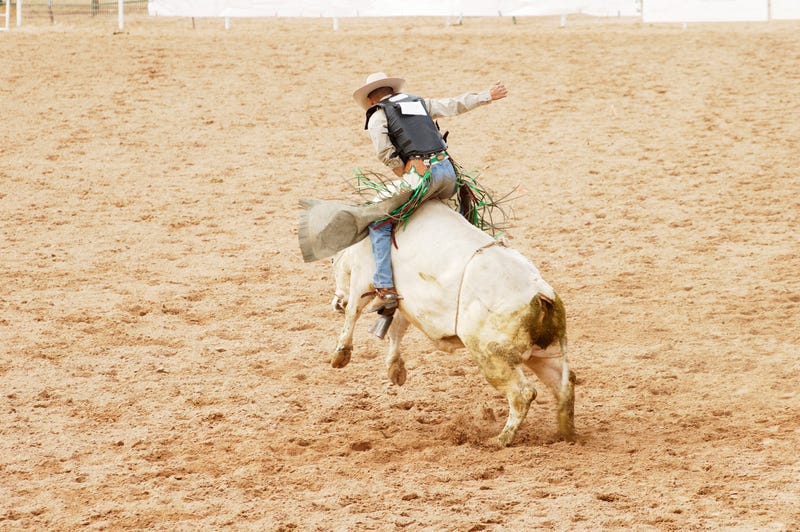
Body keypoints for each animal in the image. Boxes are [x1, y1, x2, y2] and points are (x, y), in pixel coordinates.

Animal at [328, 200, 580, 444]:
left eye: (333, 262)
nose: (336, 303)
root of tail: (540, 295)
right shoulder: (403, 302)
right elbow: (397, 328)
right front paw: (396, 370)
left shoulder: (363, 277)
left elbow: (354, 311)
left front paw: (341, 355)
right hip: (544, 354)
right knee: (565, 383)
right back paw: (567, 433)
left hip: (493, 358)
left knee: (523, 394)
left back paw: (500, 439)